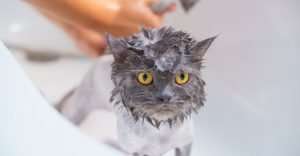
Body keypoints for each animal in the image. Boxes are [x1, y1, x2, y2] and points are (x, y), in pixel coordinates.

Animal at [56, 27, 216, 156]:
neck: (159, 131)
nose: (165, 97)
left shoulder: (185, 144)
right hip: (78, 109)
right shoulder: (136, 151)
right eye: (144, 77)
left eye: (181, 77)